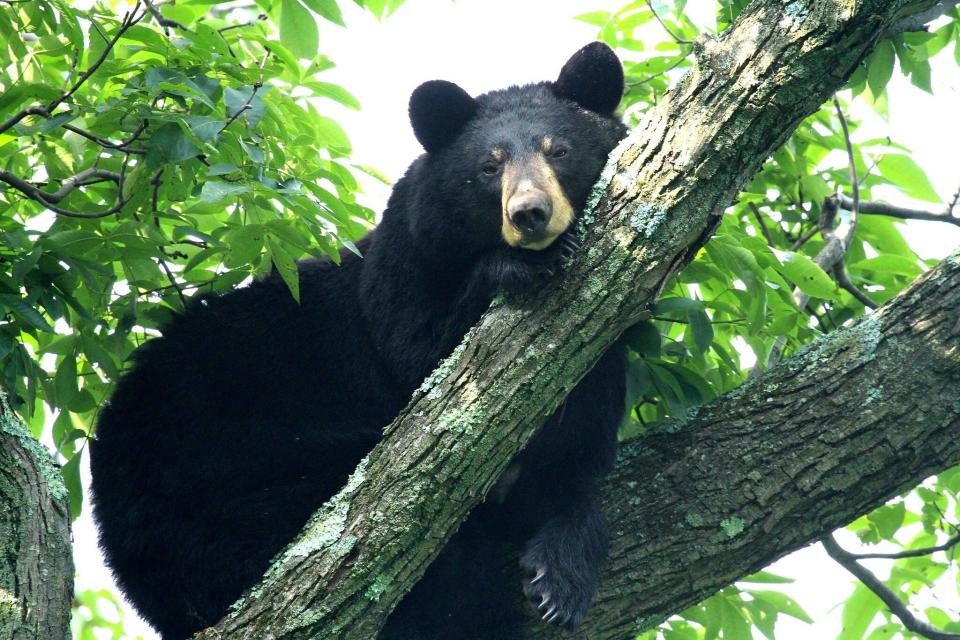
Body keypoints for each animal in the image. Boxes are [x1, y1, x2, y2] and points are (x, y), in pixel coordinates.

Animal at [90, 42, 632, 636]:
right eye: (489, 168)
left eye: (559, 151)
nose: (529, 214)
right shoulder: (397, 280)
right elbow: (427, 364)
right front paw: (515, 268)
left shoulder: (604, 342)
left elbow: (578, 448)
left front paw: (562, 573)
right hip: (234, 493)